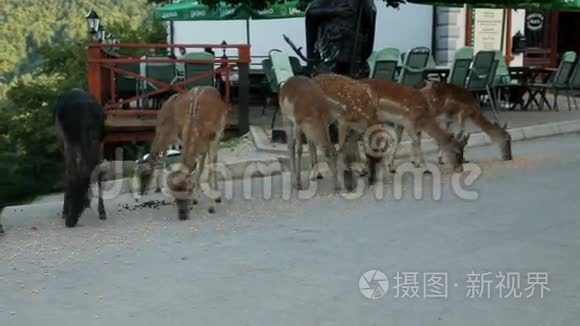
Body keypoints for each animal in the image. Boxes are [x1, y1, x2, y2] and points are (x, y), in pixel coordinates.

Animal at [56, 88, 108, 227]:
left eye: (82, 193)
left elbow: (98, 174)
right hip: (61, 139)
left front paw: (102, 212)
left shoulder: (98, 144)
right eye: (70, 196)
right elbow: (68, 173)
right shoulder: (68, 141)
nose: (69, 223)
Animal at [135, 85, 228, 220]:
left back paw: (217, 197)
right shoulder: (181, 139)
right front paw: (192, 201)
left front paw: (211, 207)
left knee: (213, 161)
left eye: (146, 174)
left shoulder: (213, 139)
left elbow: (210, 169)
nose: (182, 215)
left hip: (219, 134)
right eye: (175, 193)